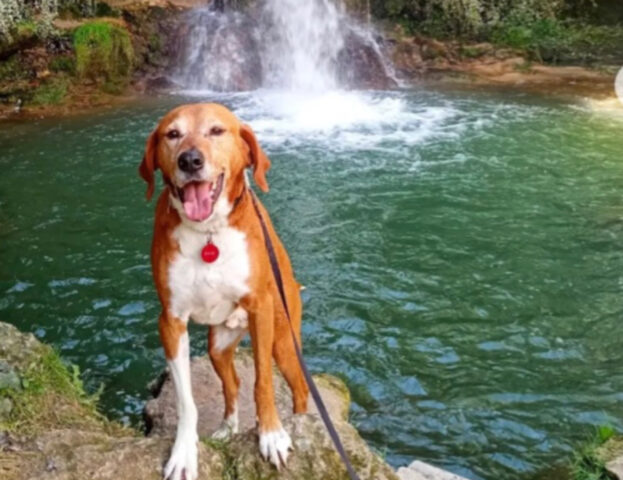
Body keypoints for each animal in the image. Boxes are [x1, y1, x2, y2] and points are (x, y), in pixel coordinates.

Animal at [139, 104, 310, 480]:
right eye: (172, 134)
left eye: (217, 131)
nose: (190, 160)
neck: (208, 233)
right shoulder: (171, 322)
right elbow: (186, 401)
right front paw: (184, 452)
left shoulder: (260, 310)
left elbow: (263, 384)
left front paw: (271, 435)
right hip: (218, 346)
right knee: (231, 384)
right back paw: (228, 428)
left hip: (283, 341)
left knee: (300, 388)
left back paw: (301, 421)